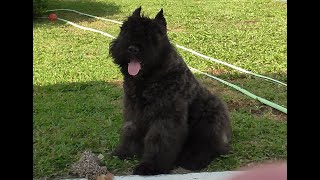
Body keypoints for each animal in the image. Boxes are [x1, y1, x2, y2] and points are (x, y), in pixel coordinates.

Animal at [109, 6, 231, 174]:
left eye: (150, 35)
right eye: (125, 30)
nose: (132, 49)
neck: (149, 78)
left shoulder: (166, 116)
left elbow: (159, 139)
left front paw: (150, 166)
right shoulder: (133, 110)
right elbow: (130, 130)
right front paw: (125, 152)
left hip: (208, 122)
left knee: (209, 146)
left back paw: (193, 160)